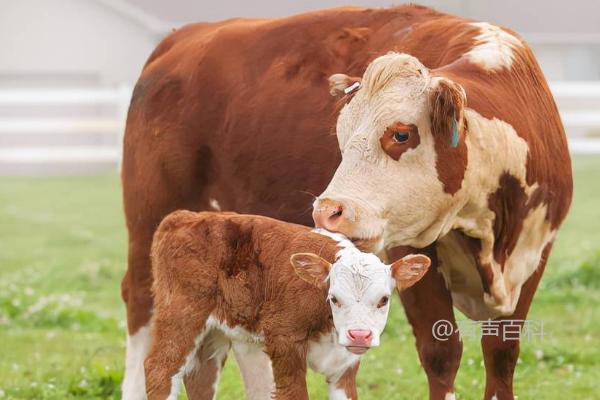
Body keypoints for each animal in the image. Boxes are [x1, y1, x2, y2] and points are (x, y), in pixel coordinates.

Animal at [145, 211, 432, 398]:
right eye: (334, 298)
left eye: (384, 299)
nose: (359, 335)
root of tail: (185, 216)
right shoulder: (284, 343)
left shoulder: (346, 365)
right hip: (181, 315)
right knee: (160, 370)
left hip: (213, 332)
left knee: (200, 377)